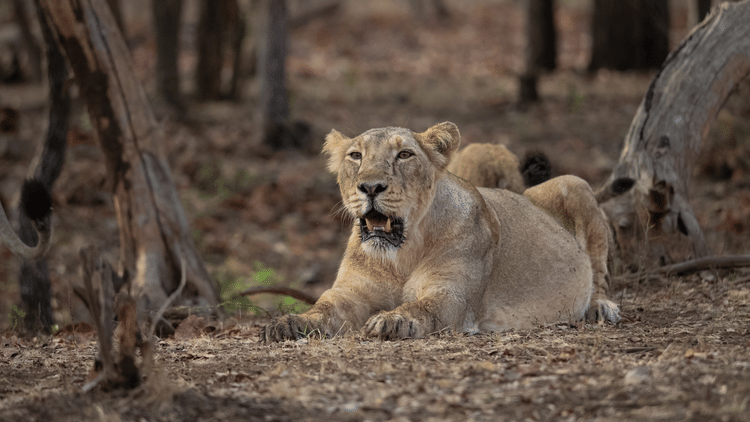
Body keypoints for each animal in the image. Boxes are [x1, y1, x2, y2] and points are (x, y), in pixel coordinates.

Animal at [261, 122, 622, 342]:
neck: (400, 255)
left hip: (574, 184)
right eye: (356, 155)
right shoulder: (351, 292)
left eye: (404, 154)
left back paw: (601, 307)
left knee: (599, 275)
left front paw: (391, 320)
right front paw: (289, 322)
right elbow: (323, 305)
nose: (371, 187)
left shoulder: (452, 296)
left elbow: (423, 308)